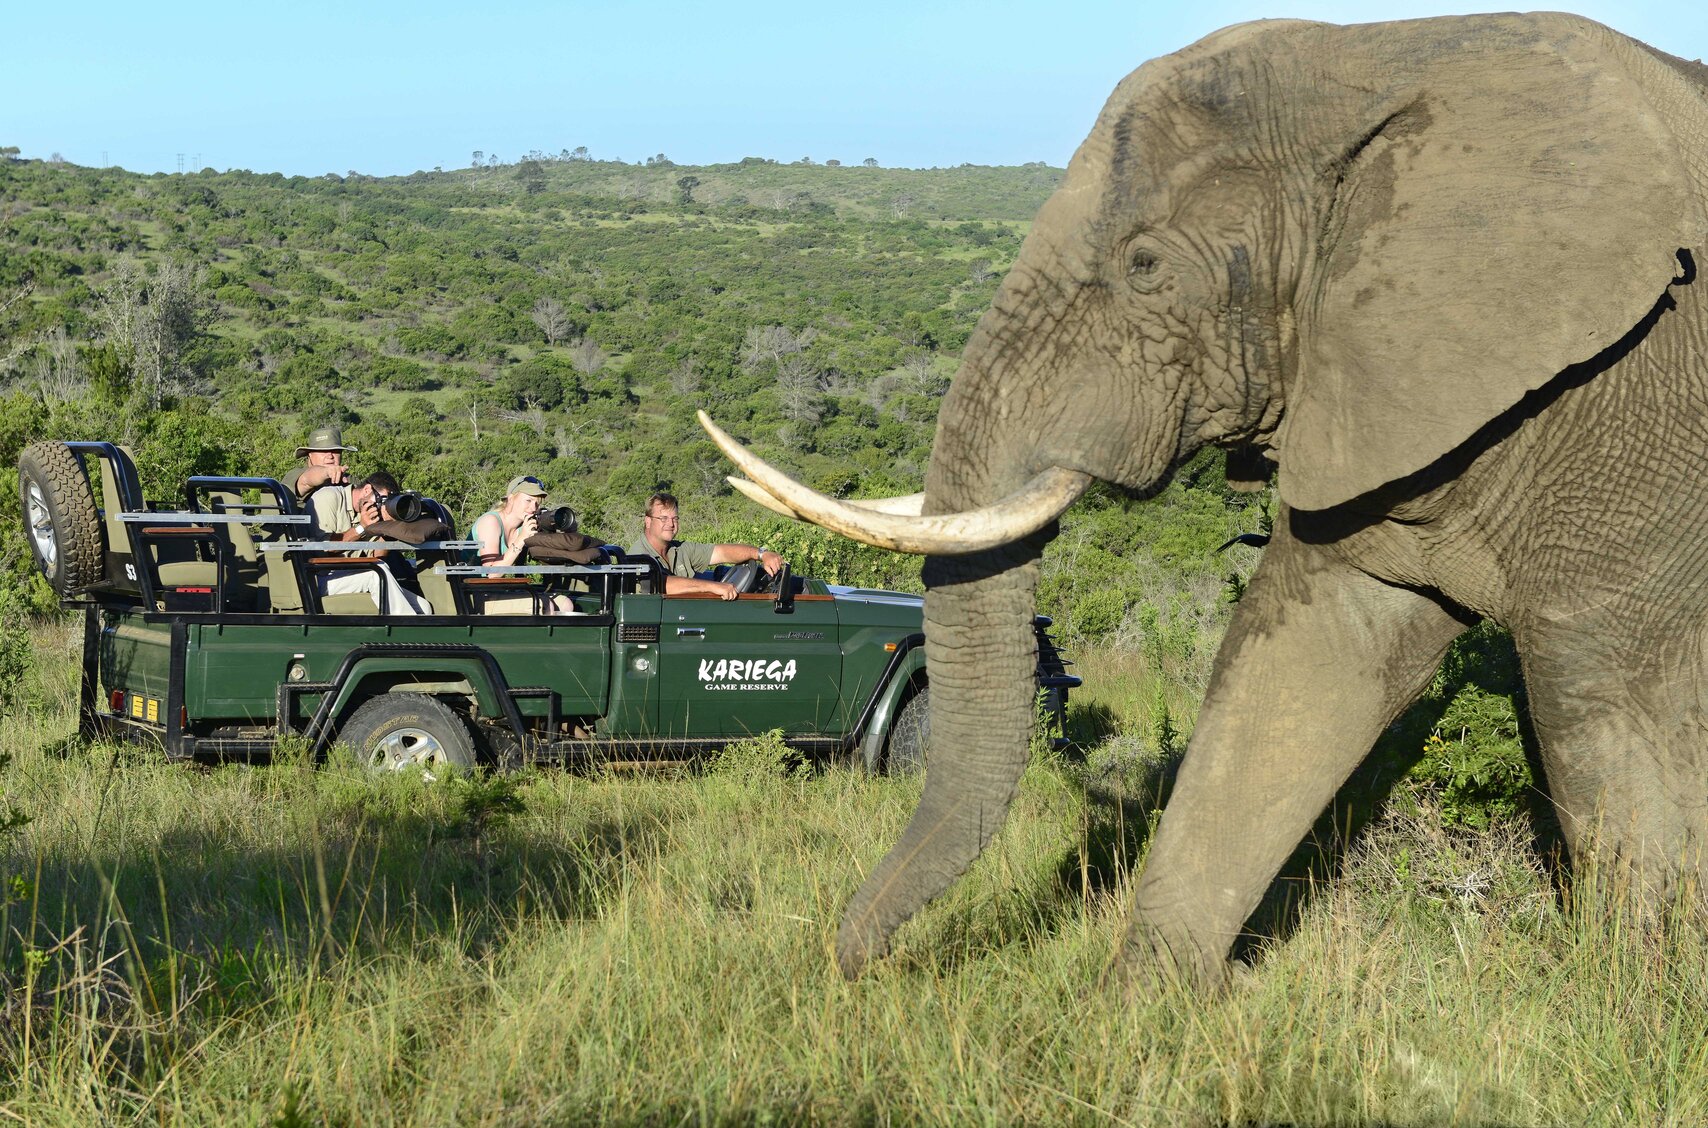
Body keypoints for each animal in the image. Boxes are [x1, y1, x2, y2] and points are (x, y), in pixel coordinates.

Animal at [700, 15, 1708, 984]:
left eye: (1144, 267)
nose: (850, 969)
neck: (1388, 56)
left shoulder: (1635, 393)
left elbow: (1599, 698)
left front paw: (1628, 1005)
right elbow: (1297, 661)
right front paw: (1138, 1011)